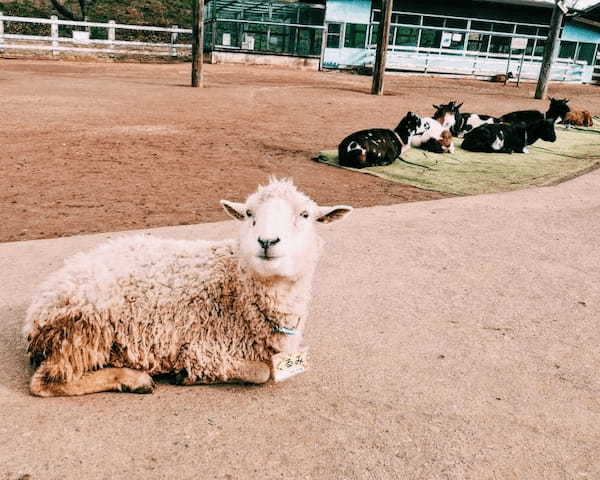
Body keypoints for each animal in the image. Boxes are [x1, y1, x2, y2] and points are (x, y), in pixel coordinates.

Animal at [23, 178, 352, 396]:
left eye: (305, 215)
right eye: (249, 214)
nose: (267, 241)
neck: (238, 288)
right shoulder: (204, 348)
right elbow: (261, 372)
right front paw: (187, 375)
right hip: (85, 328)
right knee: (47, 382)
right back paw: (134, 379)